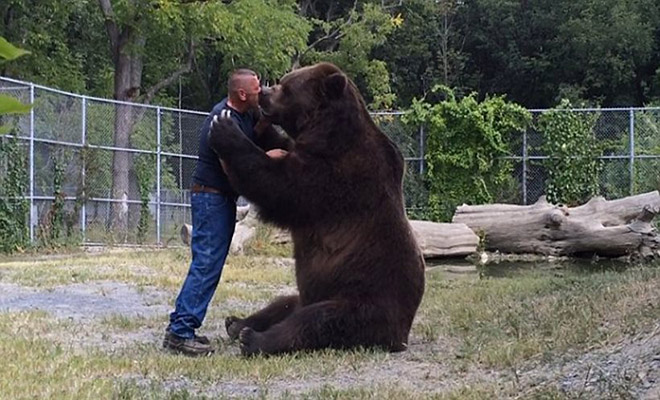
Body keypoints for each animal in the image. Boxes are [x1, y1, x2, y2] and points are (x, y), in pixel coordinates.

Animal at [209, 61, 426, 354]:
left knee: (318, 321)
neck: (328, 134)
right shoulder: (307, 151)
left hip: (365, 299)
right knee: (284, 302)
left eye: (287, 87)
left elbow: (281, 186)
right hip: (310, 296)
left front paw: (226, 129)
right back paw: (237, 322)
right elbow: (280, 147)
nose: (263, 92)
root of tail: (402, 334)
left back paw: (254, 339)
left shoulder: (338, 176)